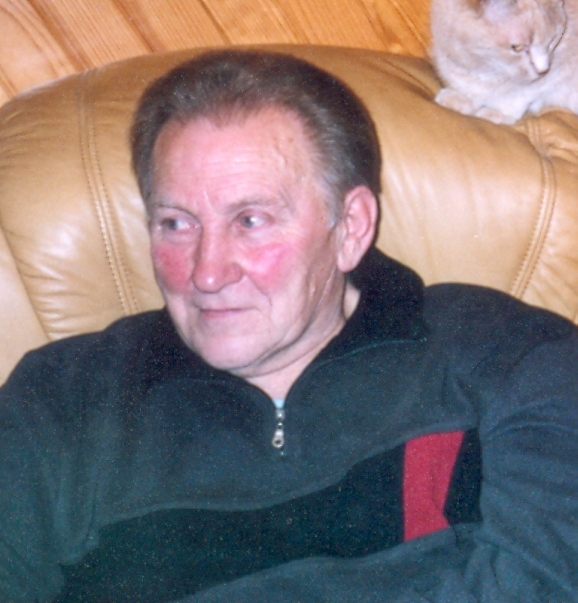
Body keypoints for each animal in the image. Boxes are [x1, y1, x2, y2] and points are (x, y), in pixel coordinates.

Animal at [431, 0, 578, 124]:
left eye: (553, 39)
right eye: (517, 47)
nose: (542, 70)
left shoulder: (559, 70)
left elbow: (519, 95)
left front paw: (498, 112)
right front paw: (463, 97)